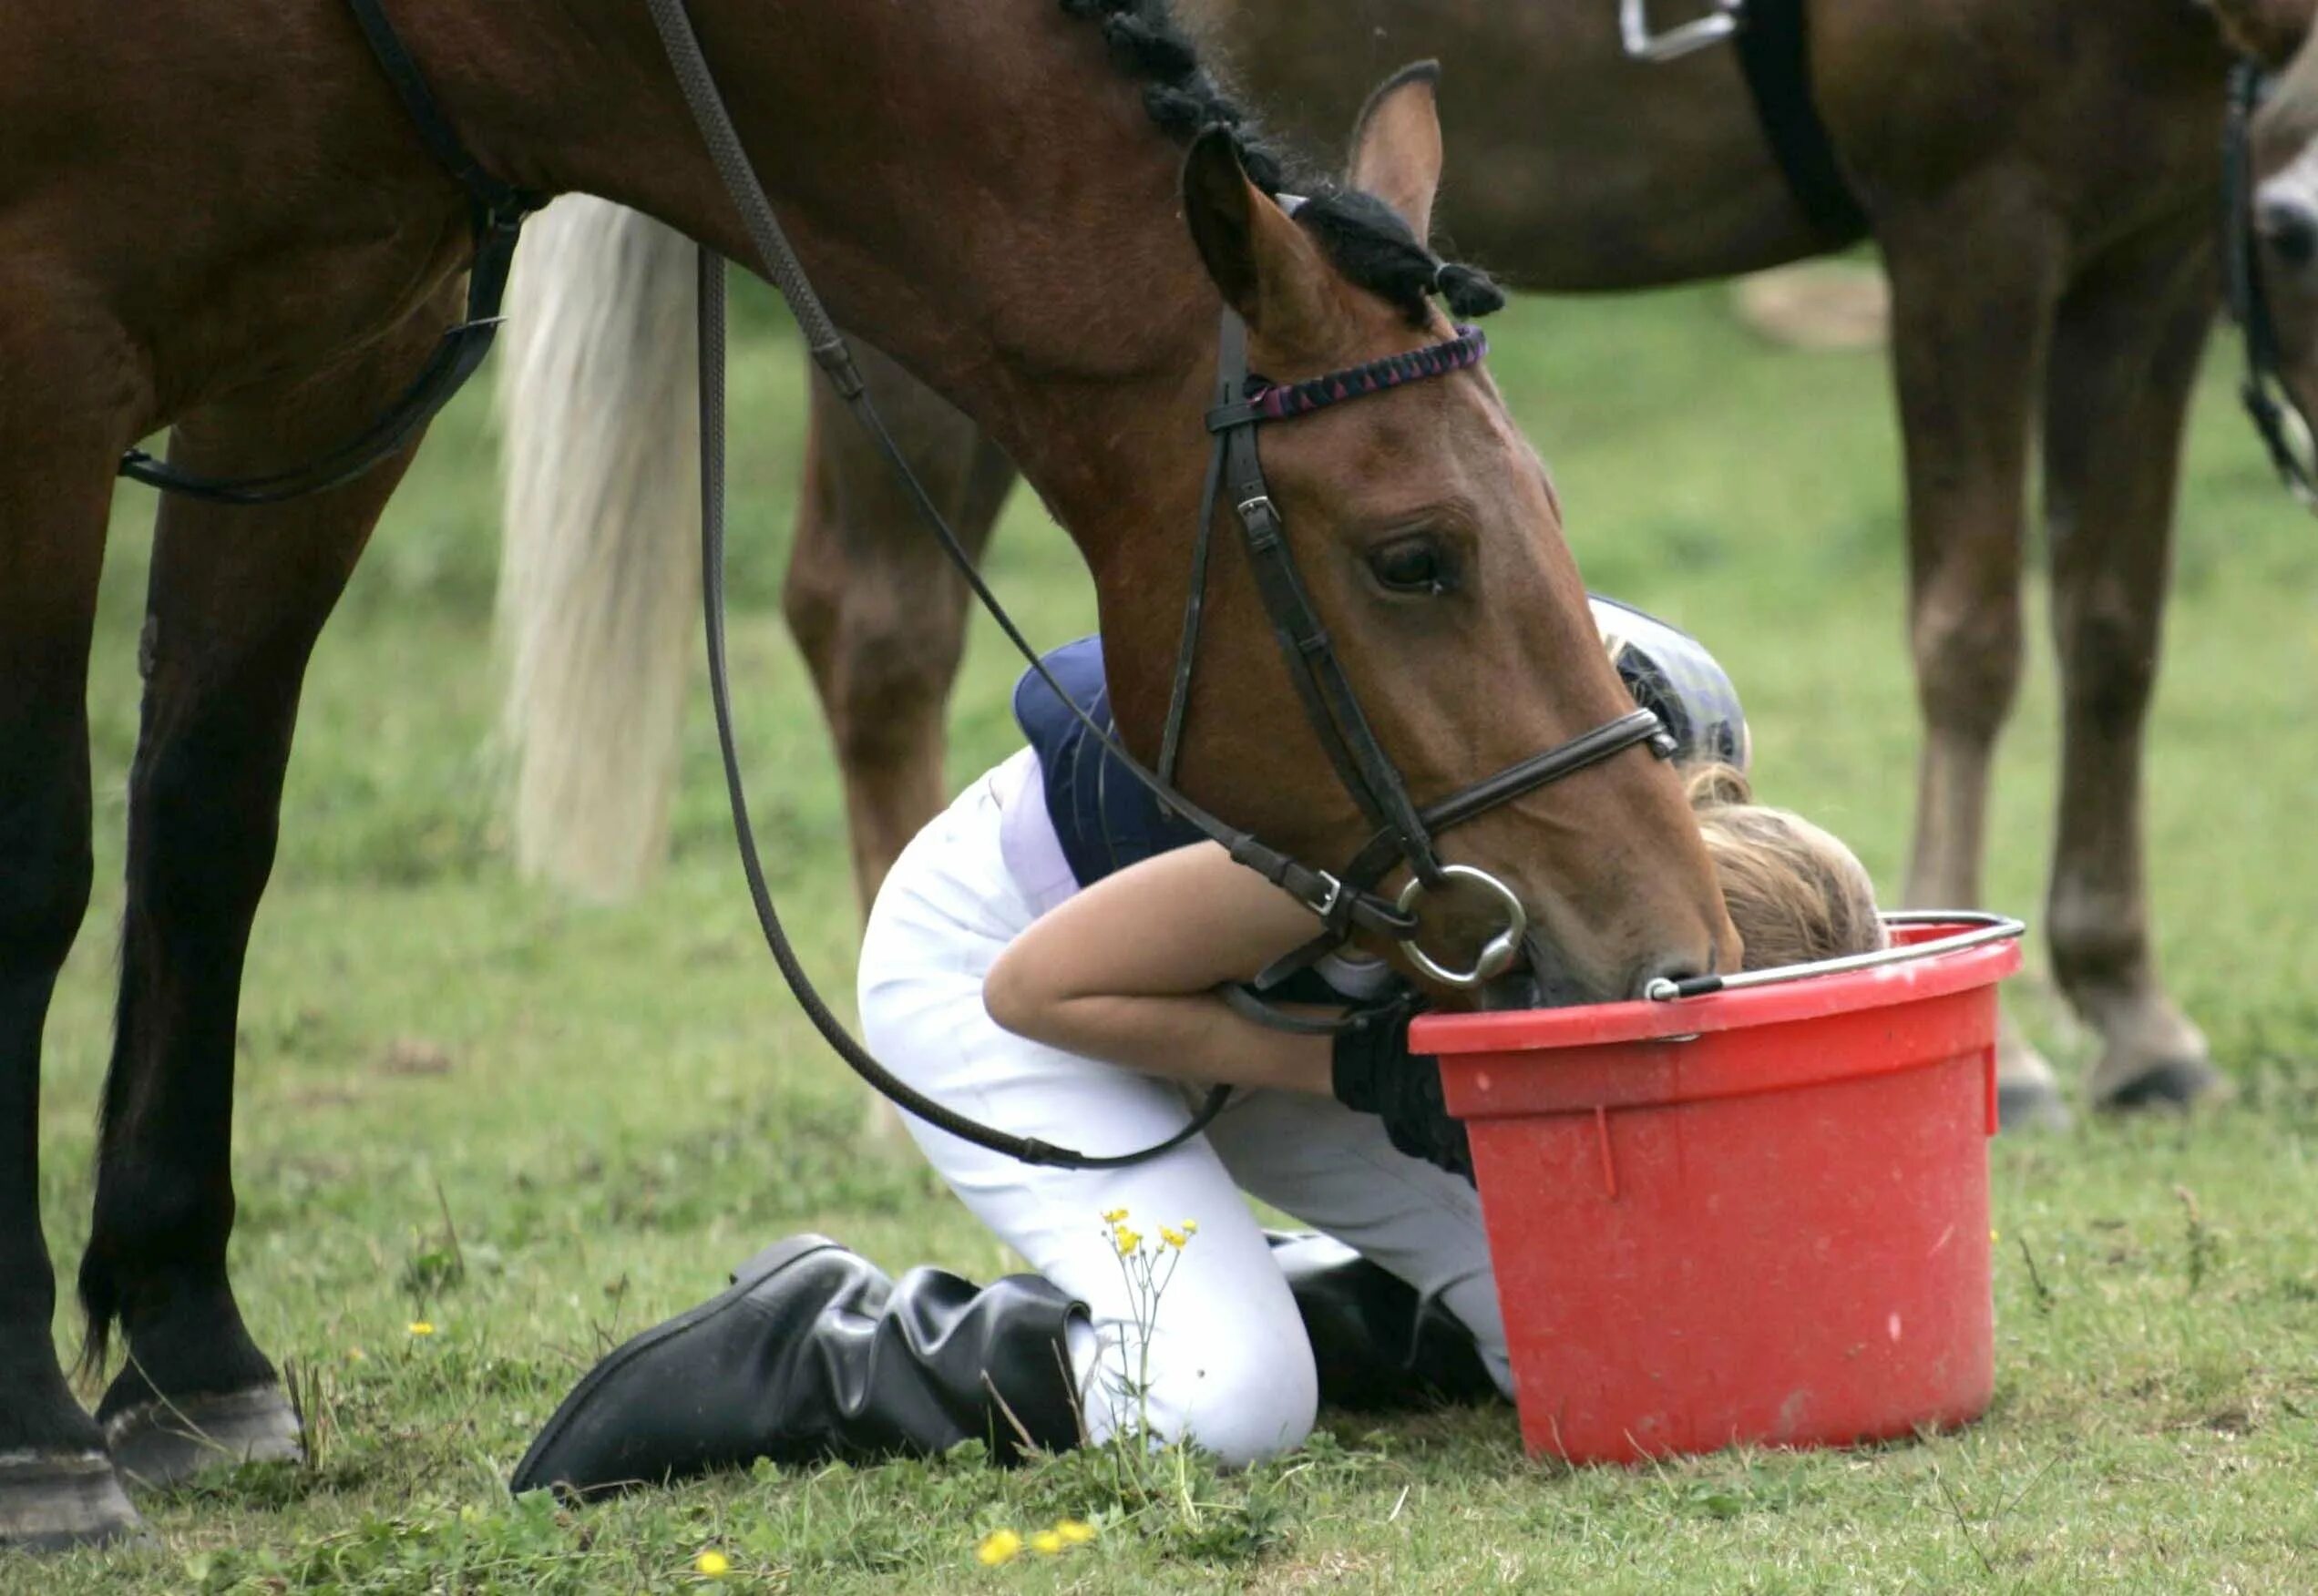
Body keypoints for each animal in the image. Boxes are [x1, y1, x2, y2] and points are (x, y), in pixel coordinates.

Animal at [0, 0, 1733, 1547]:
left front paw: (192, 1365)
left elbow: (208, 815)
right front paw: (47, 1451)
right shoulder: (48, 365)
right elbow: (44, 877)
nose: (1674, 951)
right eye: (1412, 557)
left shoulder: (328, 362)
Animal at [497, 0, 2252, 1134]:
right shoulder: (1971, 211)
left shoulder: (2153, 234)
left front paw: (2134, 1017)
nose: (1676, 950)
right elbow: (1974, 626)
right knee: (873, 621)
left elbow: (2112, 621)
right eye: (1413, 558)